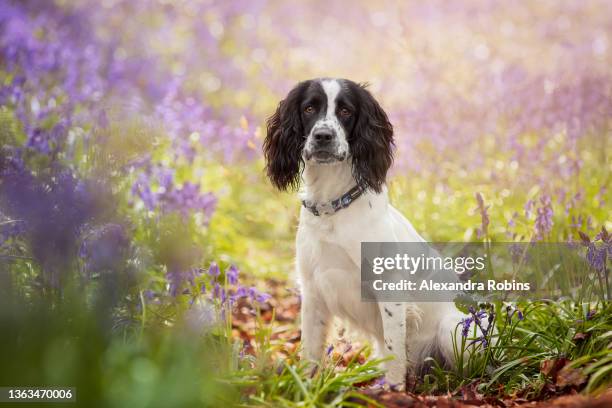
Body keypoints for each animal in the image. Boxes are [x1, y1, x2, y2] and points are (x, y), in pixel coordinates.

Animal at [262, 77, 464, 388]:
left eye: (345, 111)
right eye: (309, 108)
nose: (323, 136)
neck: (333, 209)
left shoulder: (390, 288)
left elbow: (395, 352)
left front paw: (393, 390)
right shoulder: (312, 290)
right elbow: (310, 352)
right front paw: (306, 388)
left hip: (453, 329)